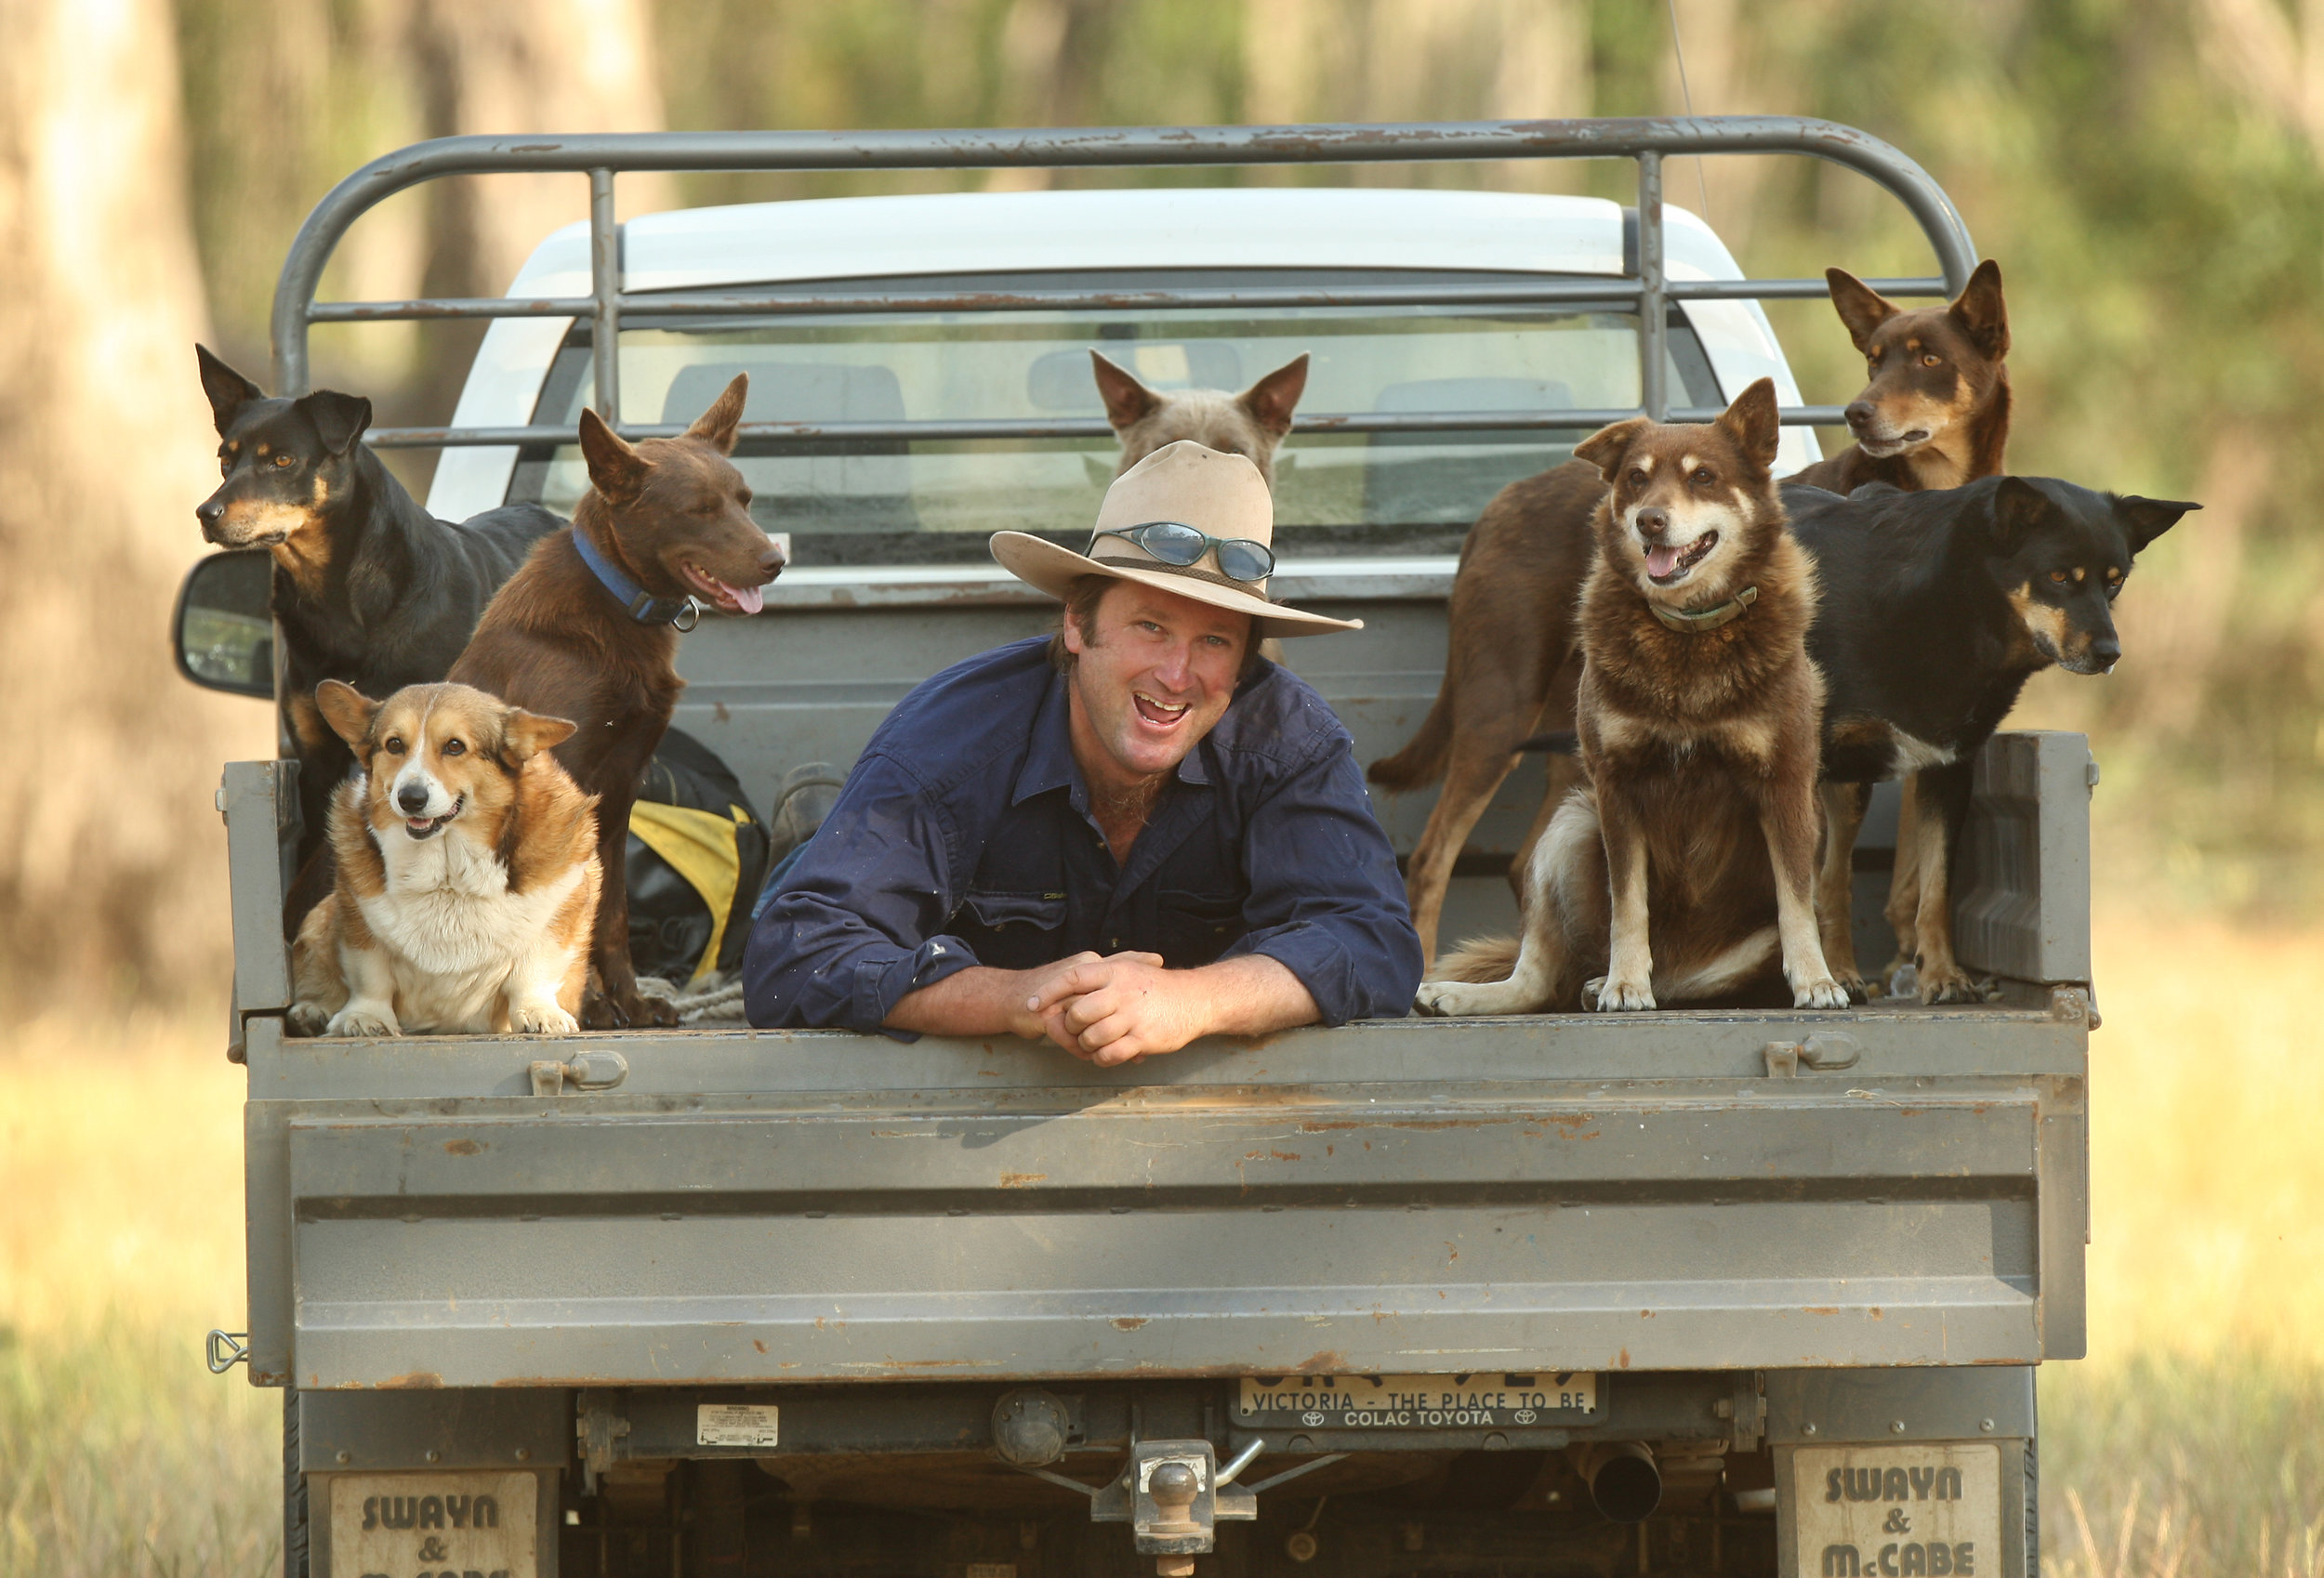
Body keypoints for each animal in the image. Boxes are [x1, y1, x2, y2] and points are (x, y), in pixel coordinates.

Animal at [285, 683, 600, 1036]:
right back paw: (312, 1010)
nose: (410, 798)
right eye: (394, 744)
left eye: (454, 746)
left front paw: (539, 1012)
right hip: (317, 920)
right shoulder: (358, 919)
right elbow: (370, 975)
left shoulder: (561, 909)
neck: (448, 871)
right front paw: (366, 1017)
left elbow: (533, 972)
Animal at [448, 376, 786, 1032]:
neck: (619, 600)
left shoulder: (621, 788)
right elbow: (569, 908)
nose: (776, 562)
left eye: (745, 500)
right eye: (700, 510)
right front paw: (586, 1008)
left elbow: (611, 911)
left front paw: (627, 1004)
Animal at [1413, 386, 1850, 1022]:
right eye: (1637, 478)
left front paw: (1816, 980)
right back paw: (1484, 990)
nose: (1650, 519)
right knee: (1540, 977)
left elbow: (1796, 902)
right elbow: (1628, 903)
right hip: (1571, 821)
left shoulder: (1785, 782)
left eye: (1703, 477)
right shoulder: (1616, 786)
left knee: (1691, 983)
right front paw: (1625, 983)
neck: (1688, 633)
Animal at [1794, 476, 2194, 1004]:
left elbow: (1934, 890)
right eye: (2059, 576)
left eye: (2115, 581)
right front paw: (1823, 979)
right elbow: (1808, 885)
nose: (2111, 653)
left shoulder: (1947, 769)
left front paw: (1943, 976)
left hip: (1851, 787)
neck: (1943, 605)